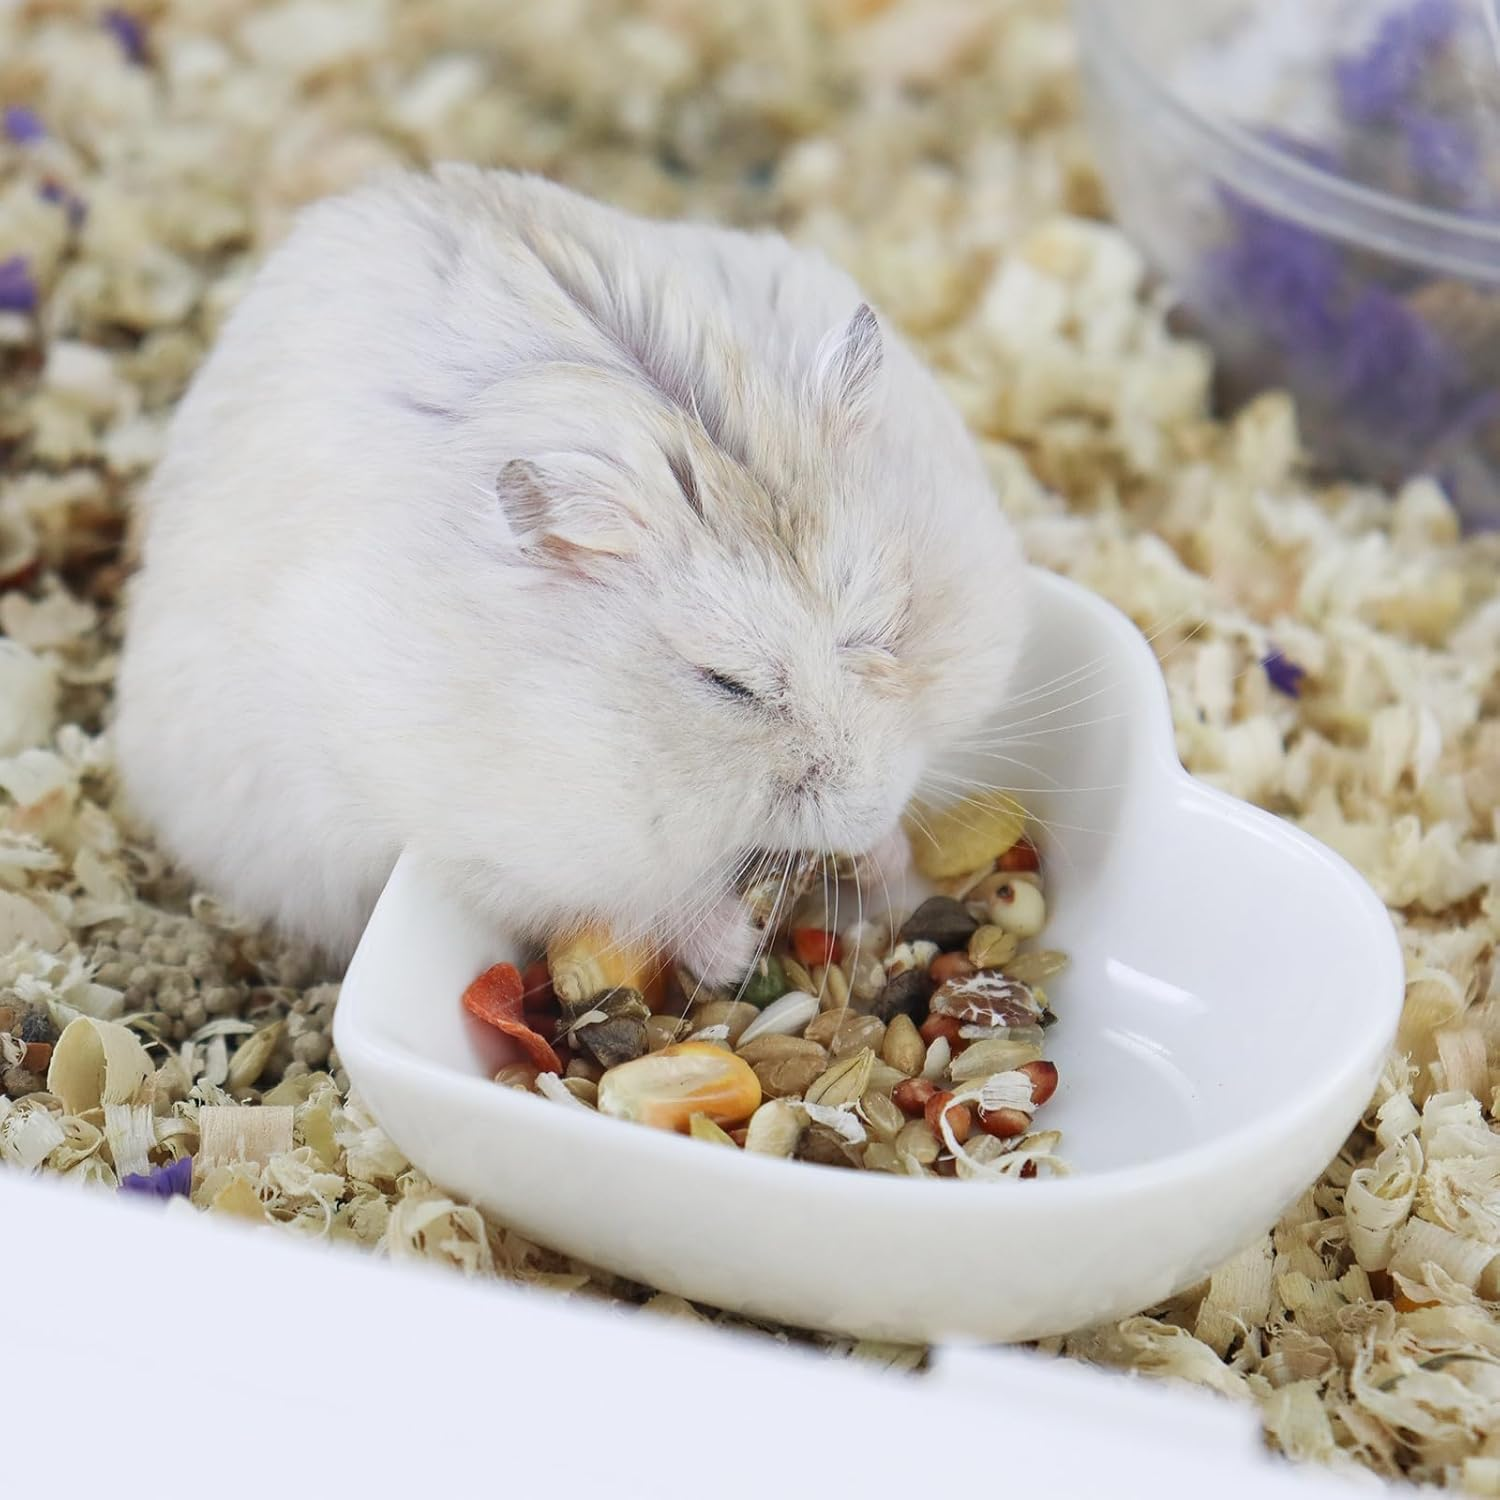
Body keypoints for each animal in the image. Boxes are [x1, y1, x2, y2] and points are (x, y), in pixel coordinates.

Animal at [113, 166, 1029, 984]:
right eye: (726, 684)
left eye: (884, 625)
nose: (873, 809)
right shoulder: (513, 839)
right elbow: (642, 898)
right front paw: (735, 953)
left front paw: (886, 855)